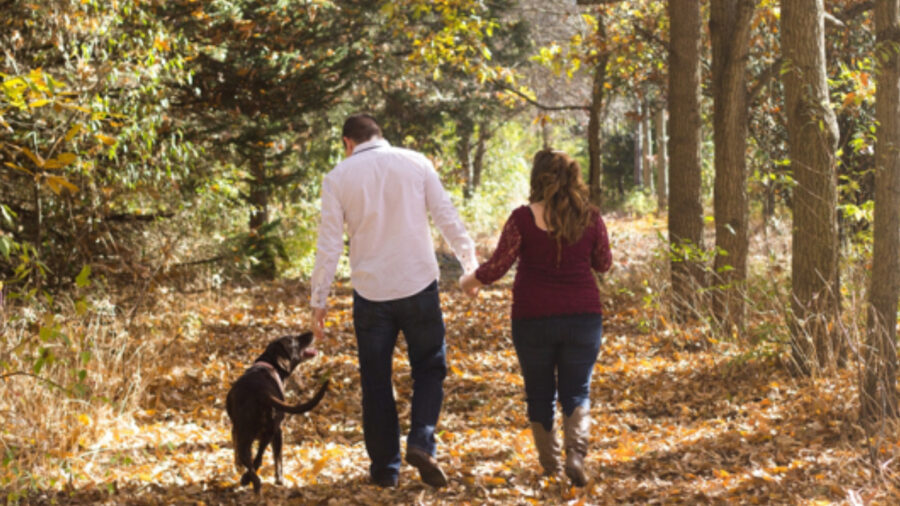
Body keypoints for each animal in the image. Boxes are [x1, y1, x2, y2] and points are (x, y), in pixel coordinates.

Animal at [227, 330, 328, 492]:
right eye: (293, 340)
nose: (311, 332)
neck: (269, 364)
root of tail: (261, 392)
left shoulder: (236, 431)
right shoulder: (276, 431)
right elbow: (277, 458)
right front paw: (279, 479)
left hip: (253, 434)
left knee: (251, 459)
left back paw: (249, 481)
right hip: (270, 432)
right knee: (257, 459)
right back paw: (252, 481)